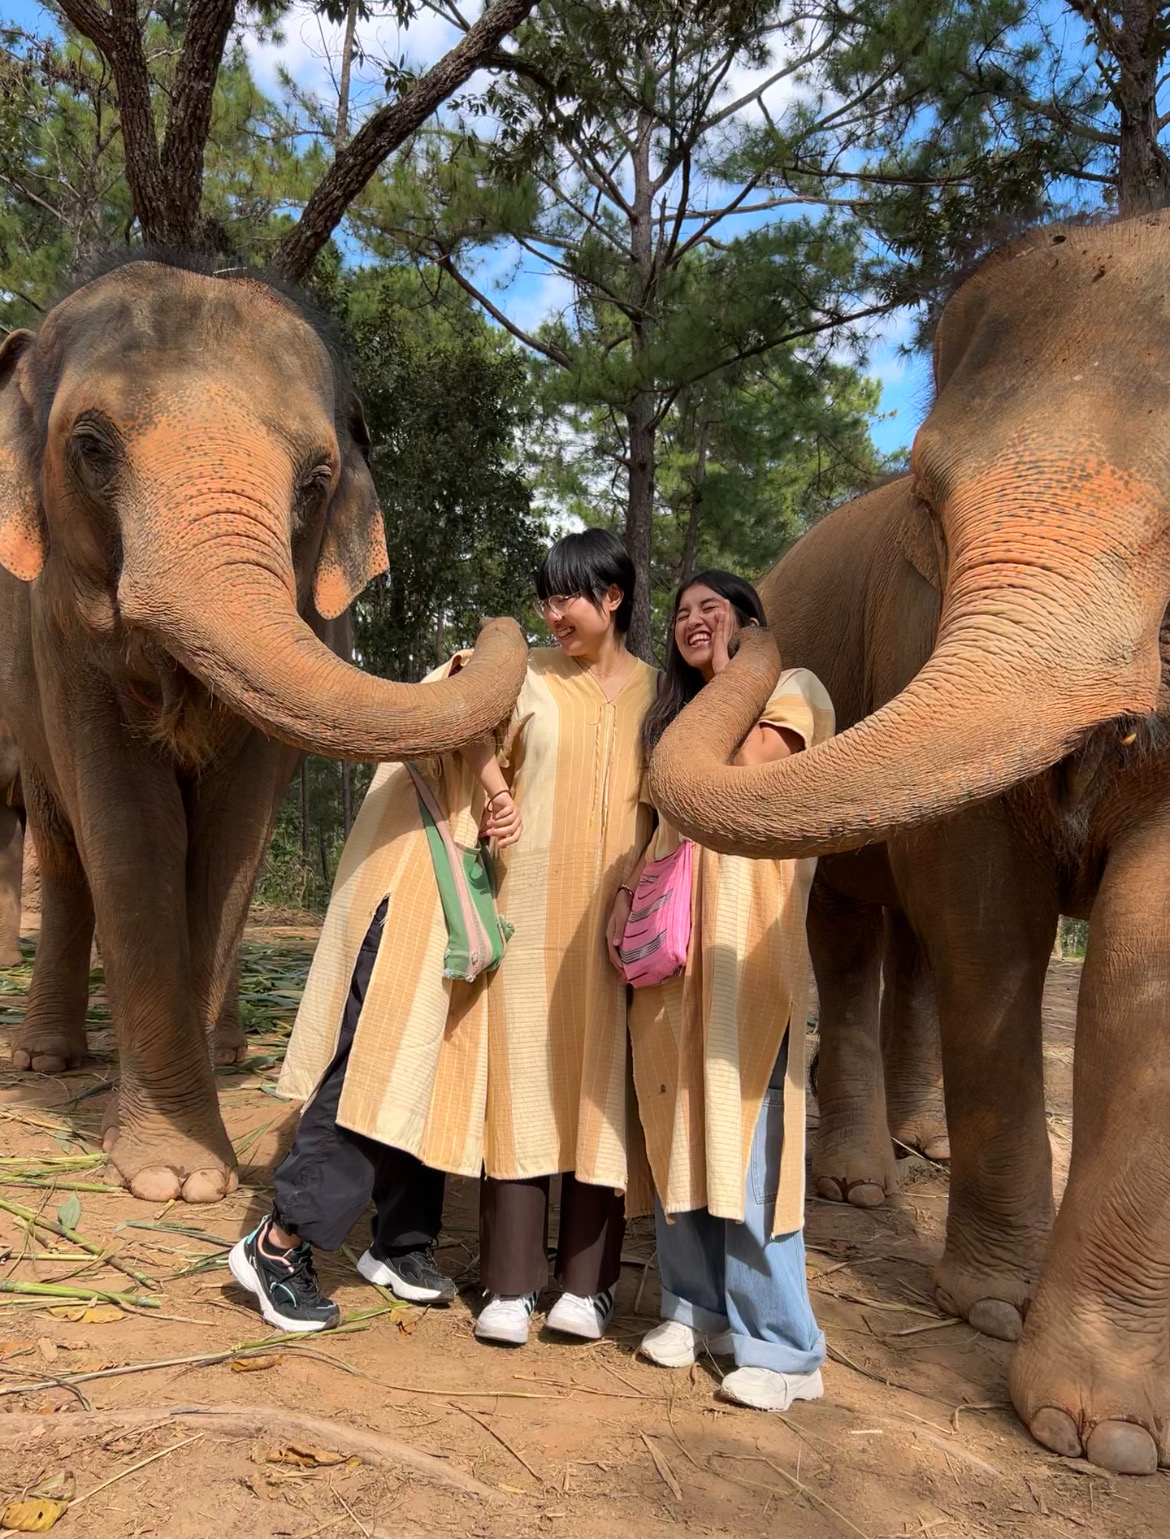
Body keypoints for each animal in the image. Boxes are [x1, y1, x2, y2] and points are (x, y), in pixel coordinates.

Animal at [0, 253, 527, 1205]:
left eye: (315, 482)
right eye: (89, 447)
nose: (491, 634)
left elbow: (229, 836)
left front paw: (184, 1164)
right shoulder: (58, 636)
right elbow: (130, 828)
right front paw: (173, 1177)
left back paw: (223, 1053)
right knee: (62, 851)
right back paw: (44, 1057)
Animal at [649, 211, 1170, 1474]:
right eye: (930, 498)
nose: (730, 617)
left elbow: (1145, 957)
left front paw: (1106, 1436)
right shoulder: (917, 624)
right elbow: (985, 914)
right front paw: (989, 1309)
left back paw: (919, 1148)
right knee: (859, 938)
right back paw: (866, 1181)